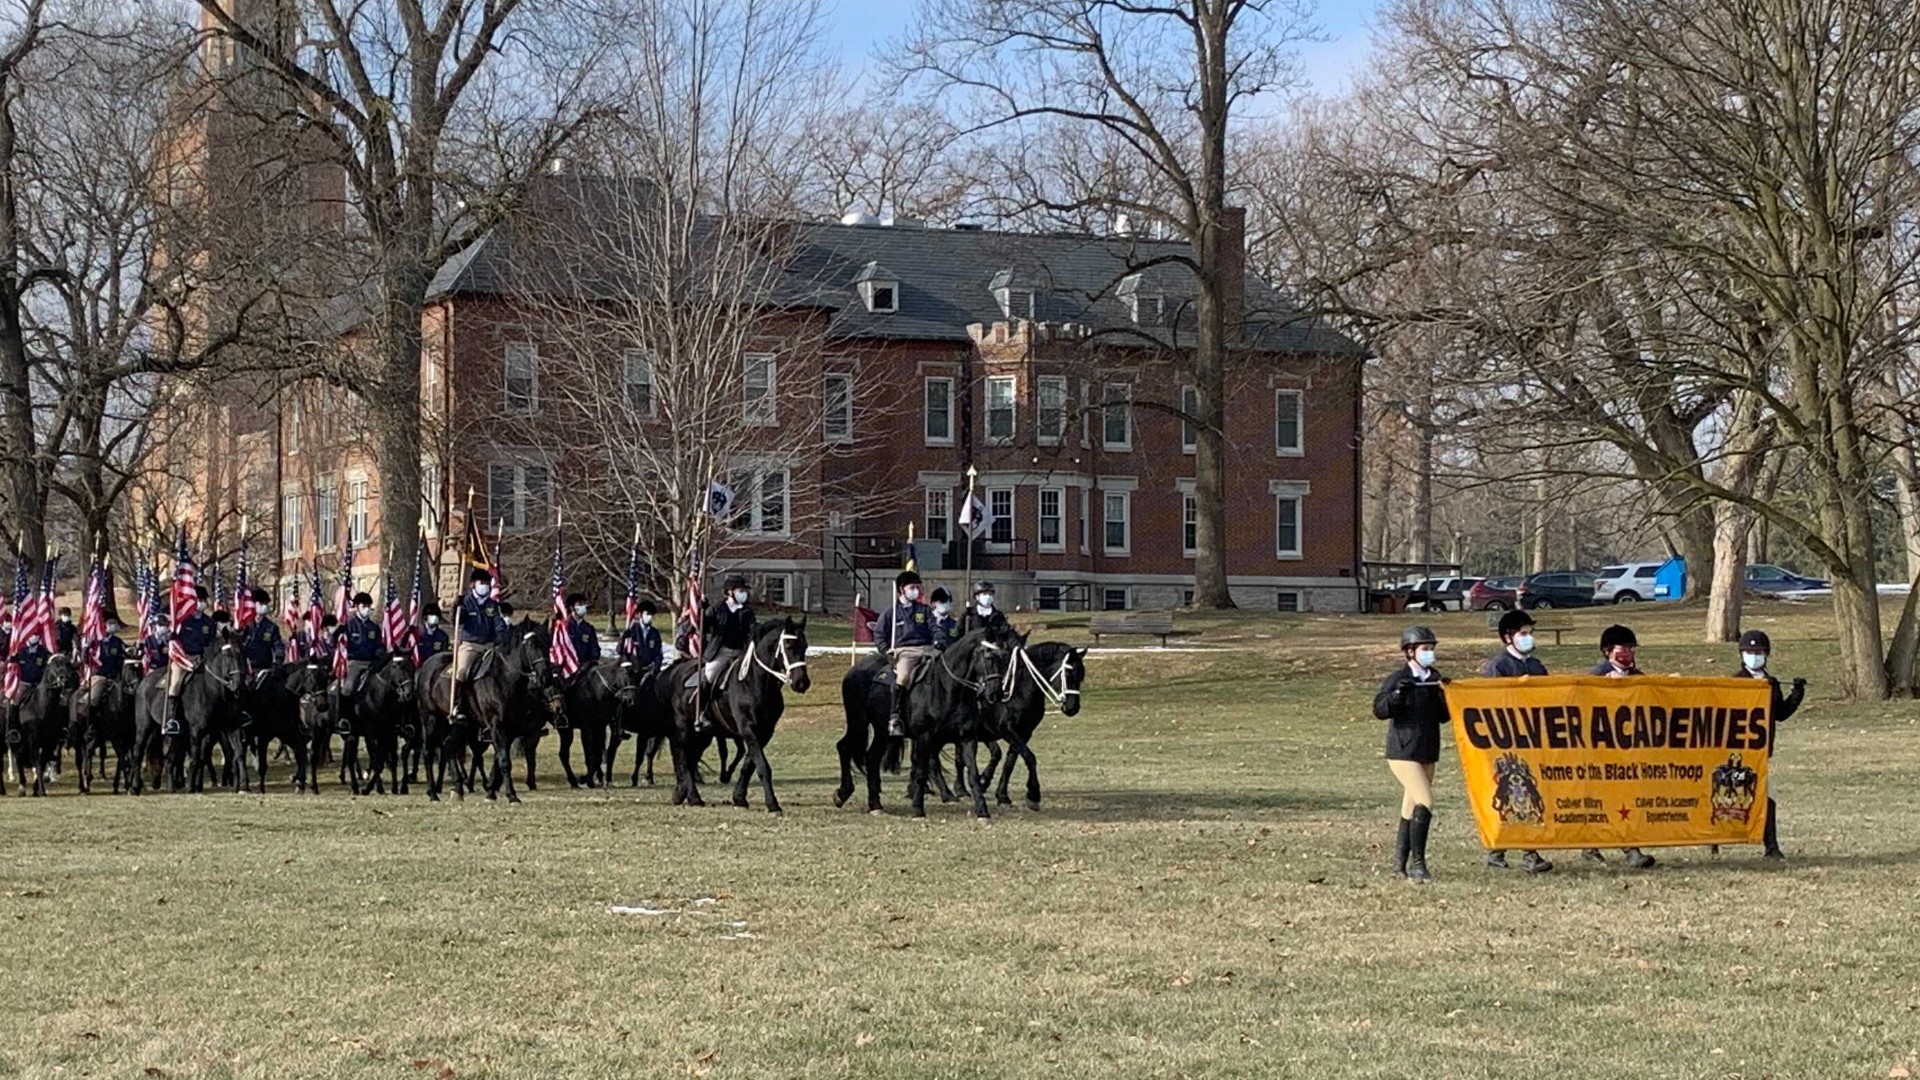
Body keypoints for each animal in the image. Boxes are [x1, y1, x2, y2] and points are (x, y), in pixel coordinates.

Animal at [10, 645, 80, 791]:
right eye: (53, 665)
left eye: (68, 664)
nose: (64, 679)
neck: (41, 708)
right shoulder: (34, 739)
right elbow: (37, 761)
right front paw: (40, 787)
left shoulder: (51, 740)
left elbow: (43, 762)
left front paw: (39, 786)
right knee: (18, 757)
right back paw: (21, 785)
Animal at [668, 614, 810, 807]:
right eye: (788, 645)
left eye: (805, 646)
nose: (802, 683)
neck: (754, 682)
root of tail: (677, 670)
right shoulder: (747, 729)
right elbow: (762, 765)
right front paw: (772, 803)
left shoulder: (764, 732)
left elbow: (749, 764)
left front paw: (739, 797)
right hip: (685, 729)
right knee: (683, 758)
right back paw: (693, 797)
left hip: (704, 736)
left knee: (690, 760)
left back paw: (683, 793)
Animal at [840, 626, 1021, 810]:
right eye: (988, 656)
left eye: (1005, 658)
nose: (996, 693)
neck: (946, 688)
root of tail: (855, 669)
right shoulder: (925, 737)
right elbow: (923, 769)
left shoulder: (966, 738)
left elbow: (971, 772)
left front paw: (981, 807)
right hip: (858, 723)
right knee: (844, 747)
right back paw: (843, 794)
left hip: (882, 730)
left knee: (871, 758)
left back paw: (875, 803)